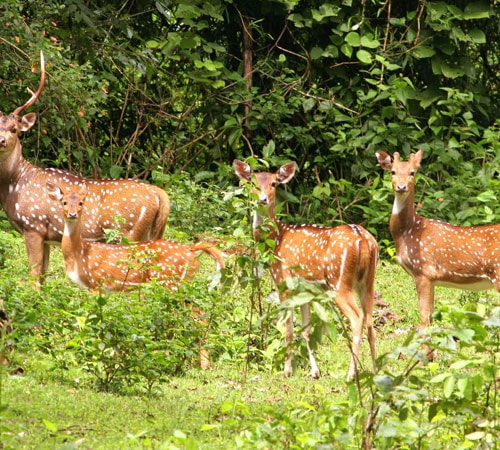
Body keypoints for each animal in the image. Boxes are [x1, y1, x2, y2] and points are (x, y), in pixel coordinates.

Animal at [0, 51, 170, 282]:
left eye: (15, 129)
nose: (1, 141)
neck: (14, 185)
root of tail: (160, 195)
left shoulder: (33, 225)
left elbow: (34, 275)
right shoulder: (46, 236)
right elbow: (43, 276)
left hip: (128, 232)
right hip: (153, 233)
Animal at [46, 182, 226, 370]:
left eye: (81, 202)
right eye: (64, 202)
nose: (72, 214)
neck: (80, 254)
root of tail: (192, 250)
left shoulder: (98, 282)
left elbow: (96, 319)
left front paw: (98, 355)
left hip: (170, 283)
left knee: (192, 317)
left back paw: (196, 363)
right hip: (181, 285)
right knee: (198, 314)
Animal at [233, 160, 376, 378]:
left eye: (274, 183)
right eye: (253, 182)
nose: (263, 199)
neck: (276, 240)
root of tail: (364, 239)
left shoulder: (283, 282)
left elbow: (289, 328)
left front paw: (287, 370)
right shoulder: (305, 291)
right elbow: (306, 330)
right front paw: (315, 371)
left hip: (339, 282)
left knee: (357, 318)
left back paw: (351, 373)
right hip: (368, 282)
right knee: (370, 321)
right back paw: (377, 368)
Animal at [376, 149, 500, 350]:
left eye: (412, 172)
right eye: (393, 172)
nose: (401, 187)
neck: (408, 232)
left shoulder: (424, 271)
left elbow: (424, 319)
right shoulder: (432, 278)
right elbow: (431, 318)